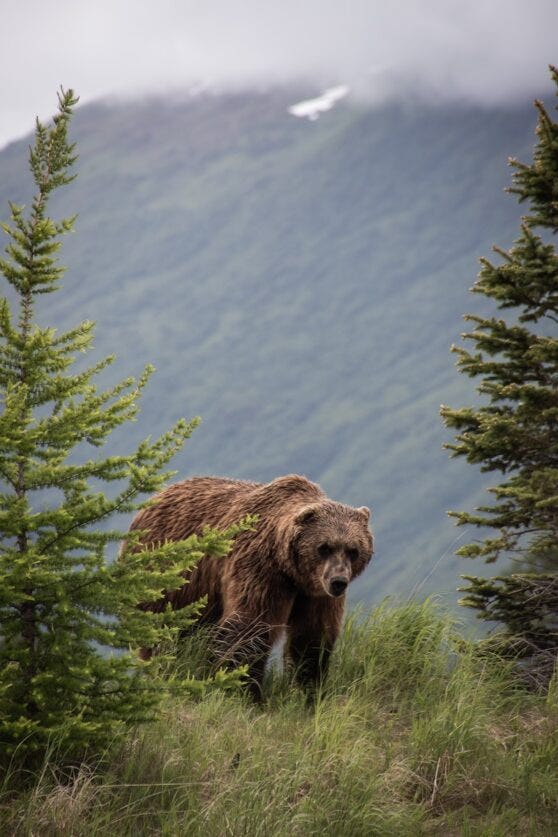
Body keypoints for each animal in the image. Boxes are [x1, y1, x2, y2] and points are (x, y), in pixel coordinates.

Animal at [129, 474, 374, 696]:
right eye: (324, 547)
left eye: (353, 550)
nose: (338, 582)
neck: (290, 570)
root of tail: (155, 497)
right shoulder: (260, 570)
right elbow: (249, 627)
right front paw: (245, 691)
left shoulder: (314, 594)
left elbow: (311, 637)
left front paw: (307, 689)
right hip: (170, 580)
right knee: (167, 634)